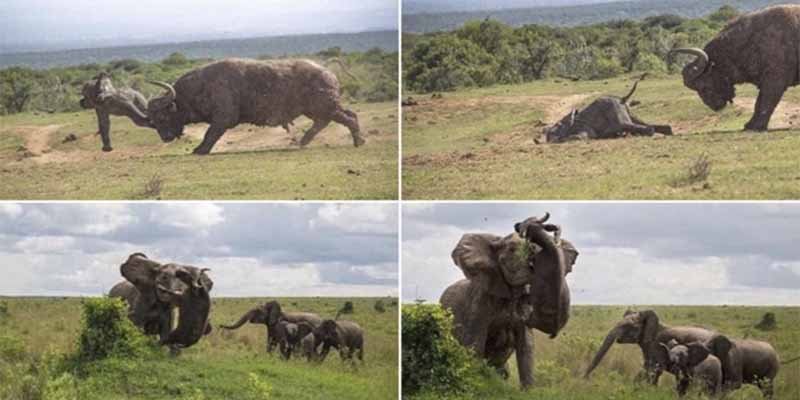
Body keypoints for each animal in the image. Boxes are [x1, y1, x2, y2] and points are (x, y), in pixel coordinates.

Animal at [439, 213, 578, 388]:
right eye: (512, 250)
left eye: (536, 249)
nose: (520, 225)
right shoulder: (478, 302)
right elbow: (474, 343)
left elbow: (527, 347)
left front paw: (528, 391)